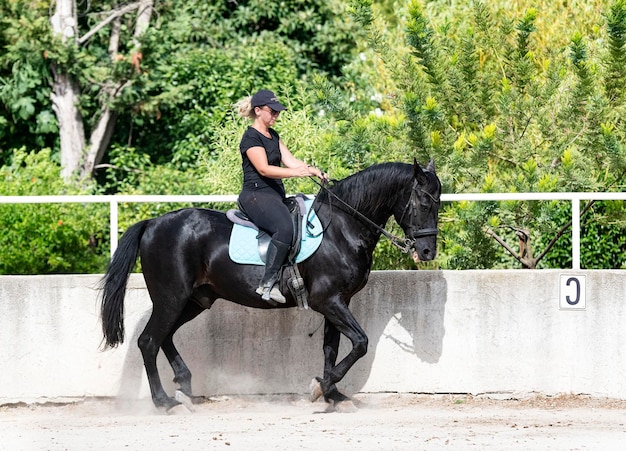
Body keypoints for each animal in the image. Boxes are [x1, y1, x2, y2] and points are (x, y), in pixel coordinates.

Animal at [100, 159, 438, 414]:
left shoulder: (339, 302)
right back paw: (165, 403)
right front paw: (321, 387)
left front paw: (334, 395)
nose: (427, 252)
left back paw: (184, 386)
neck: (341, 228)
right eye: (424, 202)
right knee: (149, 341)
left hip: (195, 300)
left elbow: (333, 348)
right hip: (171, 298)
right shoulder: (328, 301)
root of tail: (153, 223)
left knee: (165, 337)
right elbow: (361, 343)